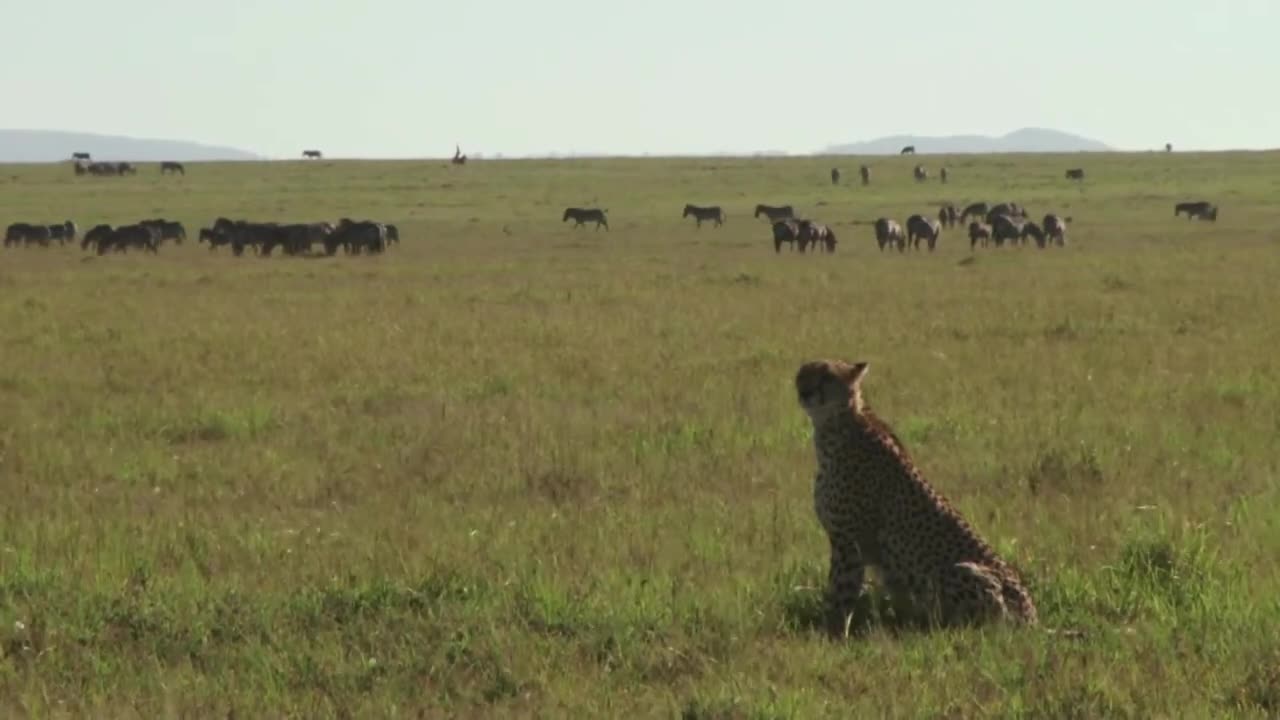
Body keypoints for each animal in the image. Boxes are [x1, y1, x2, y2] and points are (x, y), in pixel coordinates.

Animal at [788, 358, 1039, 632]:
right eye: (801, 375)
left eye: (827, 376)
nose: (804, 392)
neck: (836, 424)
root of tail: (1033, 618)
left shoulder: (848, 541)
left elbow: (840, 590)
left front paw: (829, 629)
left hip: (961, 570)